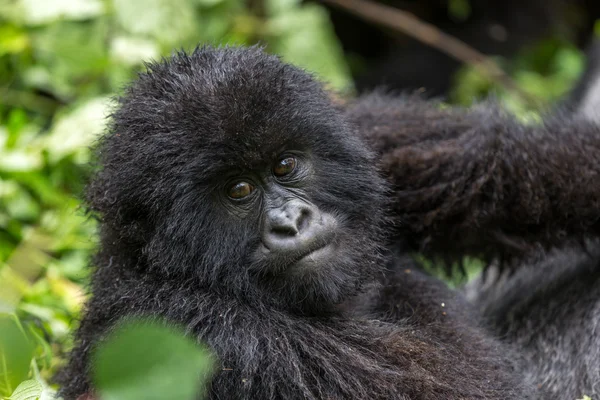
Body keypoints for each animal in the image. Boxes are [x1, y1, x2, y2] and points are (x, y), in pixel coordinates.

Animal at [55, 46, 528, 396]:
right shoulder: (204, 332)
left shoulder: (366, 130)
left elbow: (494, 166)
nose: (291, 221)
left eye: (284, 165)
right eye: (239, 190)